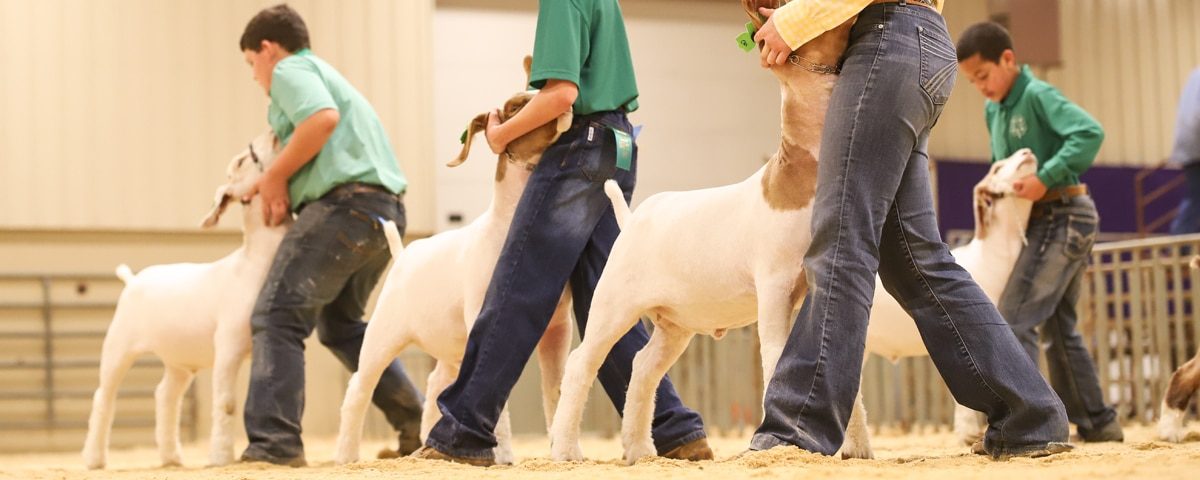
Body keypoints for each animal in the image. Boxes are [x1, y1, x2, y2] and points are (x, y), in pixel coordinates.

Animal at [81, 132, 283, 468]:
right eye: (241, 161)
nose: (271, 134)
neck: (252, 263)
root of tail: (132, 279)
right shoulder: (228, 345)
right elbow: (226, 403)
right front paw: (220, 457)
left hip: (179, 361)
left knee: (165, 395)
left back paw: (171, 457)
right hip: (117, 346)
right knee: (103, 397)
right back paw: (94, 459)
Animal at [328, 85, 571, 465]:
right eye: (515, 106)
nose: (567, 104)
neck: (507, 228)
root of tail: (403, 256)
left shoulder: (558, 326)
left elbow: (554, 390)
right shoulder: (486, 317)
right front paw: (502, 456)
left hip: (450, 347)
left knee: (434, 385)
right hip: (382, 335)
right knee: (359, 389)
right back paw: (346, 455)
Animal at [549, 0, 859, 465]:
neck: (800, 172)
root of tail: (631, 219)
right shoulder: (774, 286)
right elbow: (776, 357)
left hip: (675, 323)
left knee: (644, 367)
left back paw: (641, 451)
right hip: (614, 302)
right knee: (582, 363)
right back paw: (567, 450)